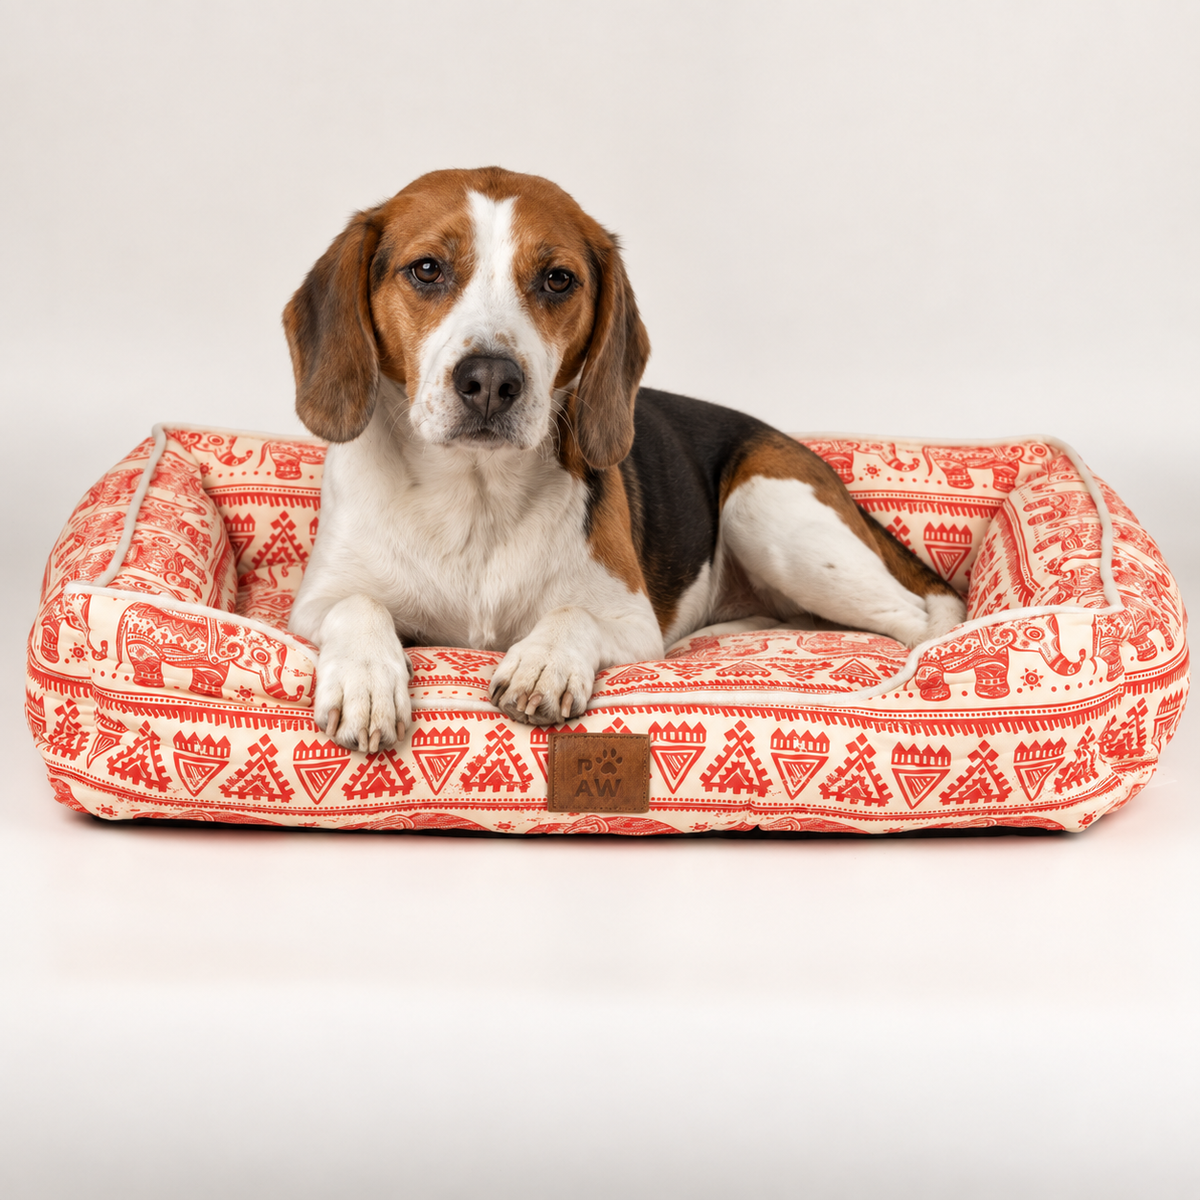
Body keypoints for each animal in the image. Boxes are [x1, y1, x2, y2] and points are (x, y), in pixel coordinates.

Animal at [113, 602, 304, 700]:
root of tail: (130, 609)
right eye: (261, 656)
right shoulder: (214, 654)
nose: (301, 688)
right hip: (140, 640)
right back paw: (151, 684)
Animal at [913, 615, 1085, 702]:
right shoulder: (990, 650)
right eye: (1035, 634)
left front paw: (994, 694)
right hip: (931, 666)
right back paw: (938, 696)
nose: (1082, 652)